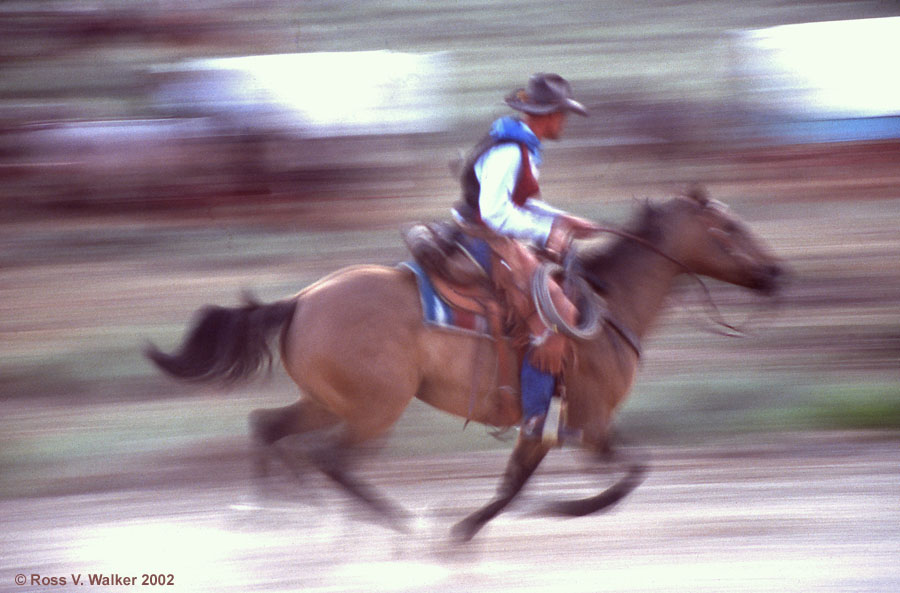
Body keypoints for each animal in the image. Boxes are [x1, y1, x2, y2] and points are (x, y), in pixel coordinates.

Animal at [146, 188, 780, 536]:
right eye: (729, 226)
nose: (777, 273)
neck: (606, 304)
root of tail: (300, 299)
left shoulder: (549, 424)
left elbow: (514, 484)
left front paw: (471, 528)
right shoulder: (590, 421)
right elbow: (626, 475)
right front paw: (559, 509)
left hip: (325, 400)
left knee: (270, 428)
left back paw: (275, 514)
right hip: (376, 407)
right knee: (331, 460)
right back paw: (396, 524)